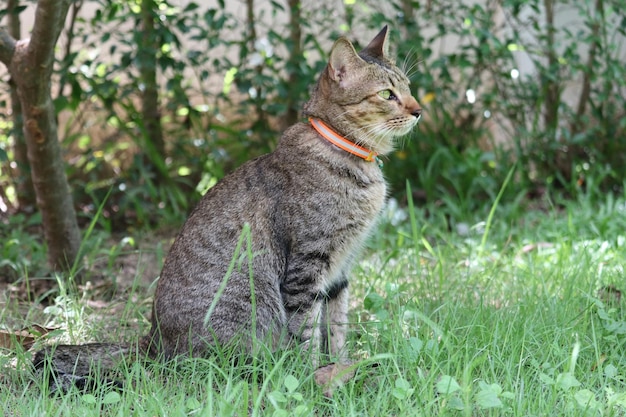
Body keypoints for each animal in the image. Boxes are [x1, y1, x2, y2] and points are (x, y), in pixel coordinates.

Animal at [30, 25, 420, 390]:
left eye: (409, 88)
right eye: (387, 94)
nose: (419, 110)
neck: (348, 155)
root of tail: (152, 343)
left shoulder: (341, 269)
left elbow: (336, 328)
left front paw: (342, 368)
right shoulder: (308, 265)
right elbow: (306, 333)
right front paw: (312, 378)